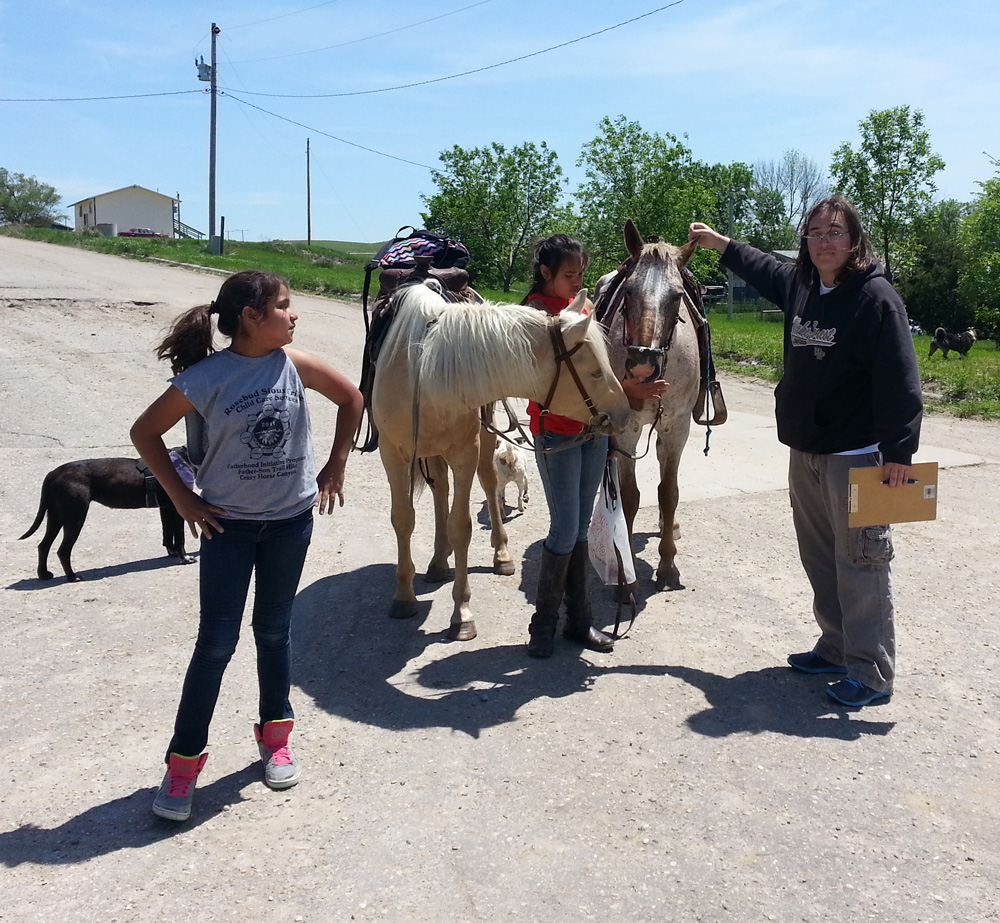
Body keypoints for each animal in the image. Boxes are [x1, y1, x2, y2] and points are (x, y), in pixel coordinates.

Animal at [19, 452, 194, 580]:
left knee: (43, 545)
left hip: (56, 516)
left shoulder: (166, 508)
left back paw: (44, 574)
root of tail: (53, 473)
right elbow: (180, 537)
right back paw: (72, 577)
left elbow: (168, 533)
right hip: (74, 517)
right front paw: (185, 559)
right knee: (63, 550)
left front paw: (172, 553)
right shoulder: (178, 509)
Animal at [372, 282, 628, 644]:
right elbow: (403, 520)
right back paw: (438, 560)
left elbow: (461, 526)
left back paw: (498, 555)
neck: (425, 373)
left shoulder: (466, 453)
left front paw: (462, 615)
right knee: (440, 489)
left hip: (481, 443)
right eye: (594, 371)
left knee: (488, 485)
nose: (625, 413)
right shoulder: (392, 455)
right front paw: (404, 596)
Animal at [592, 220, 704, 588]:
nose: (642, 367)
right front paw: (624, 569)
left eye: (678, 296)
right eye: (628, 292)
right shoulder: (626, 428)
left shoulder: (676, 427)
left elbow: (668, 493)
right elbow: (629, 495)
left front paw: (668, 564)